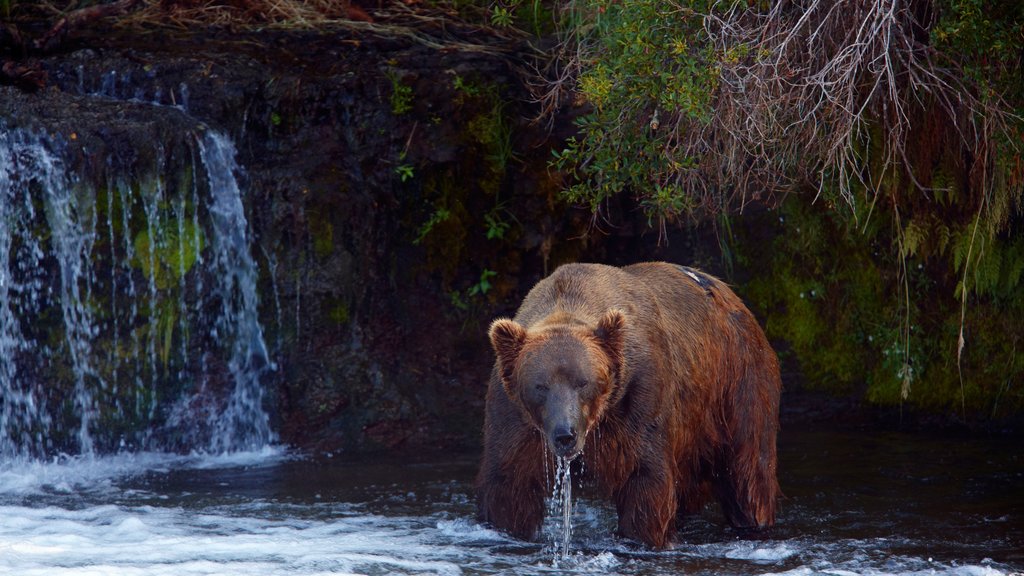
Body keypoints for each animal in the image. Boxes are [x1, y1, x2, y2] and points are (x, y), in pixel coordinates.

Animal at [475, 261, 778, 545]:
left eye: (583, 382)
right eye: (540, 386)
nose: (565, 434)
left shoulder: (640, 397)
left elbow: (642, 477)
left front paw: (642, 534)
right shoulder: (515, 419)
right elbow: (510, 485)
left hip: (736, 383)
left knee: (748, 472)